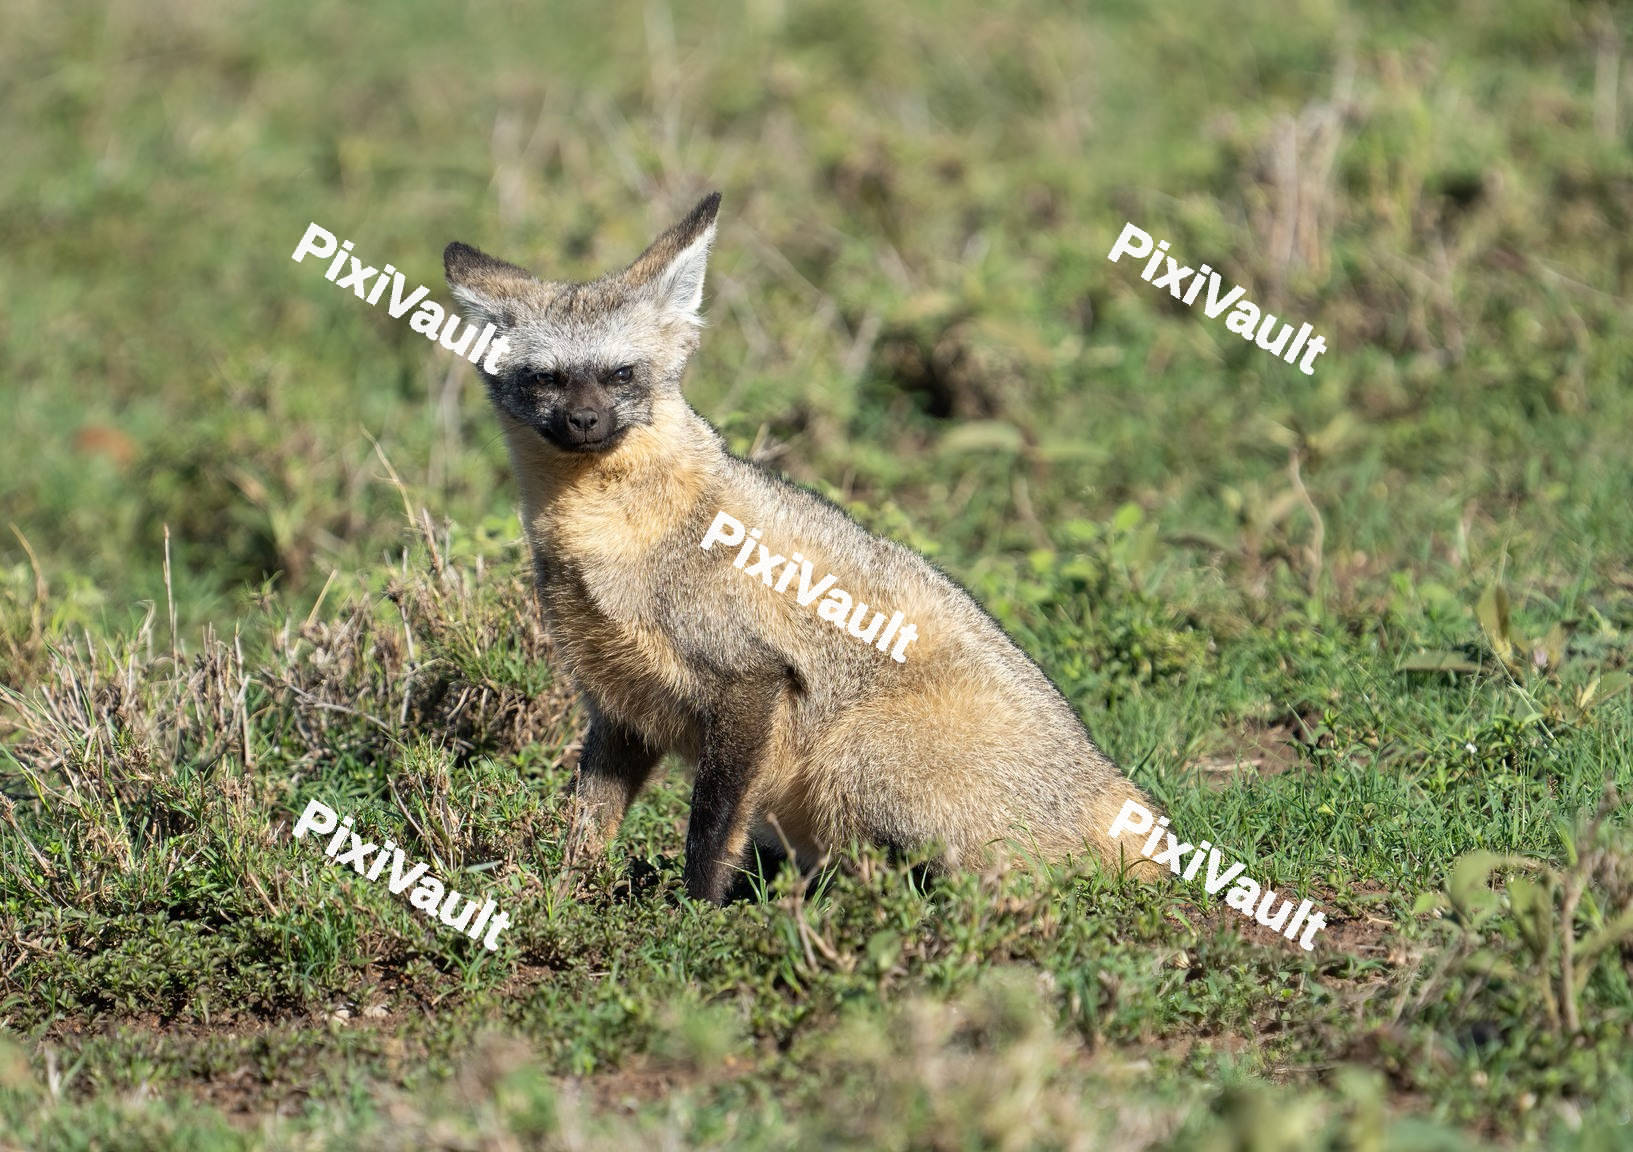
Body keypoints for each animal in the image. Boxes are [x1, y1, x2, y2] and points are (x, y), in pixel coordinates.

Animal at [444, 191, 1158, 903]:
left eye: (621, 373)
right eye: (547, 380)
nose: (585, 421)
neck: (612, 536)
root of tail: (1110, 787)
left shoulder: (751, 679)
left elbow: (708, 828)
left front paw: (692, 913)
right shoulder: (620, 707)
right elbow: (587, 825)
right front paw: (567, 897)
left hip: (855, 754)